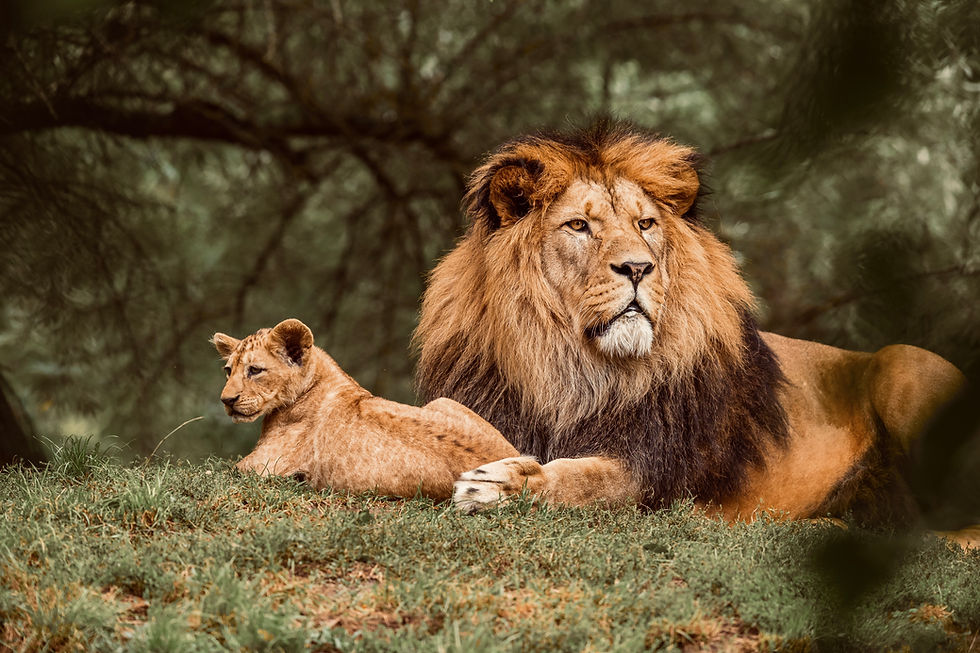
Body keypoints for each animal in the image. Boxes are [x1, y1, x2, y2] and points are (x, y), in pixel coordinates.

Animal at [211, 318, 518, 499]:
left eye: (255, 370)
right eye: (228, 371)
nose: (226, 400)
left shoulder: (260, 467)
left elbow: (218, 472)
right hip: (442, 400)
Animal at [414, 120, 971, 540]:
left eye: (645, 225)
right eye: (578, 226)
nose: (638, 268)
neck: (571, 367)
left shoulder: (652, 472)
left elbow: (581, 480)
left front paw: (500, 485)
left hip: (903, 363)